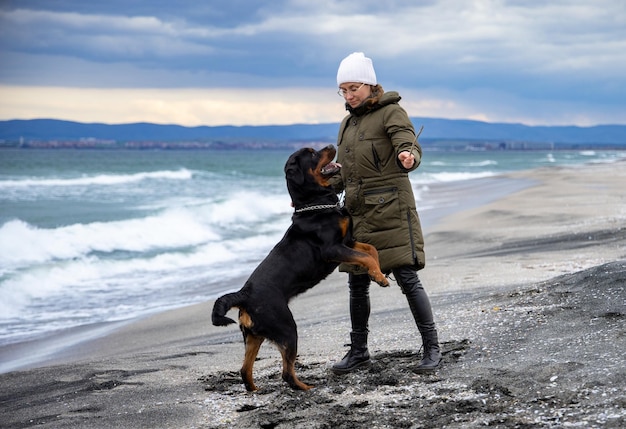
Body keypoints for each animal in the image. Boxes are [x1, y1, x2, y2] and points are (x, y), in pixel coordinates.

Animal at [212, 145, 388, 392]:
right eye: (312, 154)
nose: (331, 146)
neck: (314, 205)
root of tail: (243, 294)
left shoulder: (348, 242)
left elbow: (370, 250)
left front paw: (378, 273)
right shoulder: (333, 249)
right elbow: (365, 256)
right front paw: (379, 277)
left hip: (254, 336)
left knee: (245, 370)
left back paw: (256, 390)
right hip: (287, 328)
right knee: (286, 372)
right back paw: (307, 387)